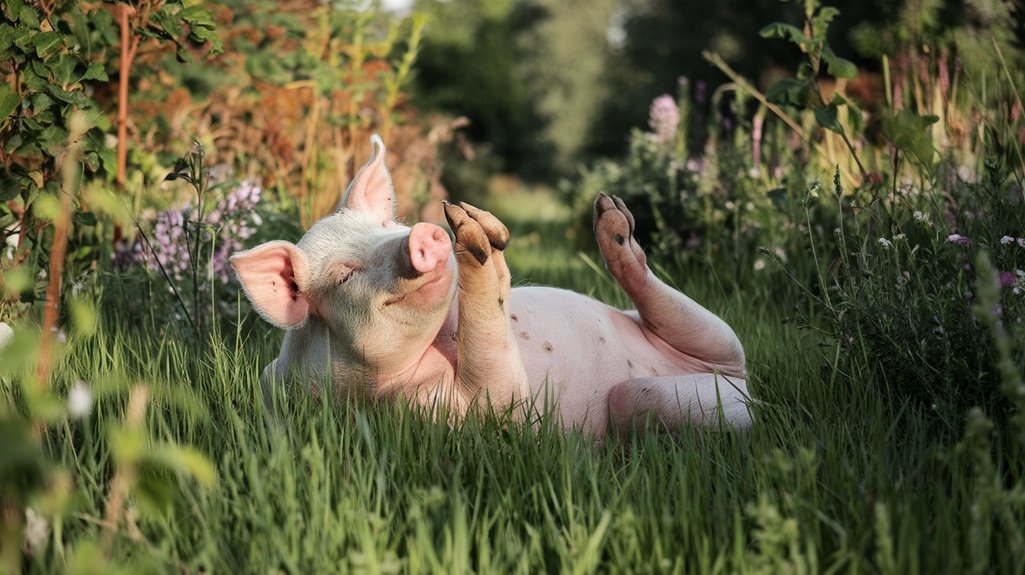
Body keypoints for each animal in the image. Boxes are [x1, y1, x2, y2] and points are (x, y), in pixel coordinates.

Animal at [231, 136, 752, 437]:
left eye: (386, 226)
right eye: (343, 274)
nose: (425, 232)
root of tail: (741, 384)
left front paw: (472, 218)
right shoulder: (463, 415)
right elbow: (501, 388)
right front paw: (473, 234)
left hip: (709, 334)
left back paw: (610, 212)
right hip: (654, 397)